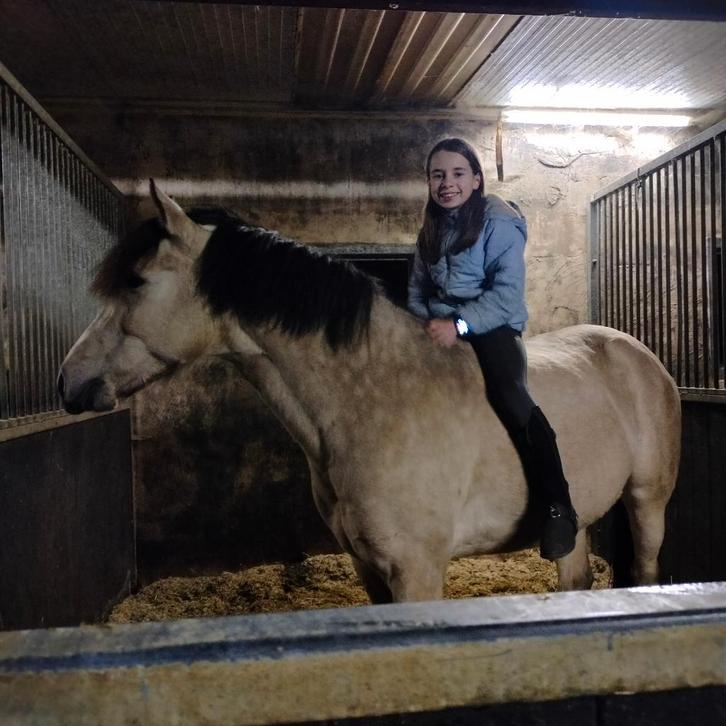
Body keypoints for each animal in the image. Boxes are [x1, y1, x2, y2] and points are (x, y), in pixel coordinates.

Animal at [58, 181, 681, 603]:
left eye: (136, 281)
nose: (68, 381)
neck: (370, 399)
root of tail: (638, 353)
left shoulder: (419, 571)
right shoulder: (368, 567)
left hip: (648, 501)